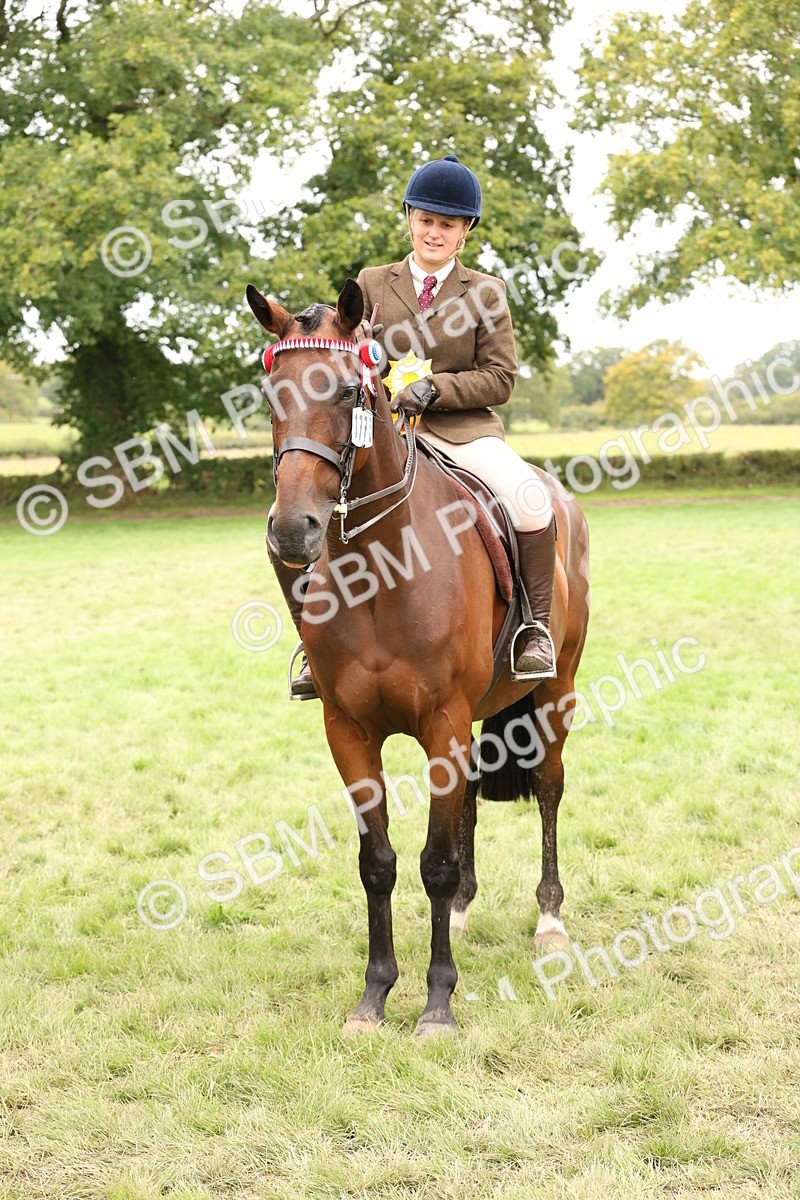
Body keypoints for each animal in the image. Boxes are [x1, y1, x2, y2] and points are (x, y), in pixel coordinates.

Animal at [246, 277, 590, 1036]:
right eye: (270, 394)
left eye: (351, 390)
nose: (292, 532)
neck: (383, 570)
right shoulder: (348, 731)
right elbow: (378, 861)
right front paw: (374, 996)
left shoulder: (442, 724)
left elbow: (434, 862)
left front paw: (436, 1004)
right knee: (468, 806)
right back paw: (461, 912)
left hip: (555, 693)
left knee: (549, 788)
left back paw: (549, 920)